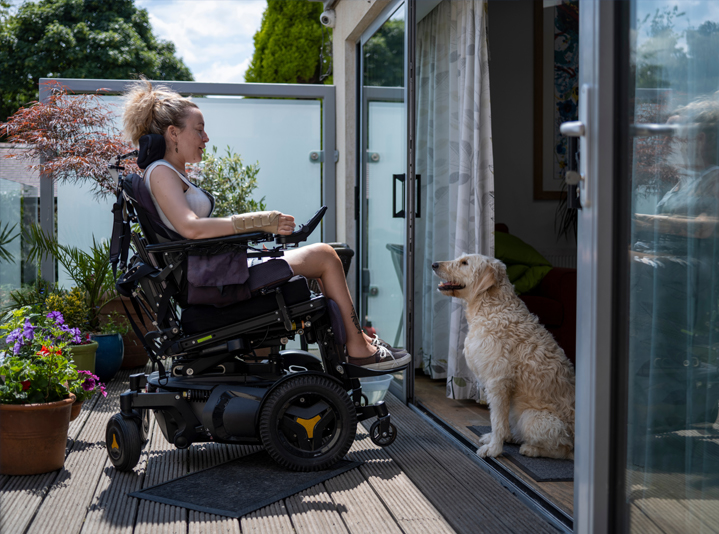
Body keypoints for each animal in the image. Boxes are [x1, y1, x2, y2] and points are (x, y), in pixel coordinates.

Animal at [434, 255, 572, 460]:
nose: (434, 264)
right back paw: (514, 437)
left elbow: (496, 419)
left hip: (531, 417)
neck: (491, 307)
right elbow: (497, 418)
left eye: (465, 262)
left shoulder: (498, 381)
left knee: (563, 449)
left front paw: (493, 449)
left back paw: (531, 449)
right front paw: (495, 439)